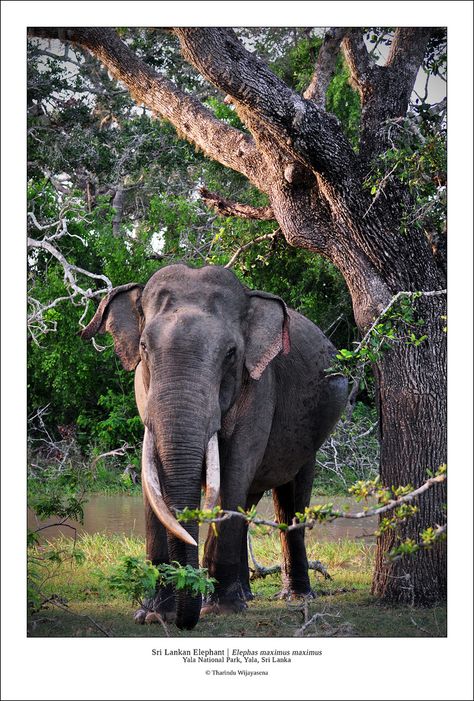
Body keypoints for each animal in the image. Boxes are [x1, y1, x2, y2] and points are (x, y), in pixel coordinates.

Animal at [82, 262, 348, 628]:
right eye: (144, 347)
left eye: (231, 353)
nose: (184, 622)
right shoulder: (141, 389)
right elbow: (154, 483)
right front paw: (153, 615)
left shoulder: (259, 388)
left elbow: (234, 473)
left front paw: (220, 609)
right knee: (250, 499)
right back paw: (246, 595)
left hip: (315, 430)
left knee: (290, 496)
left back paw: (294, 597)